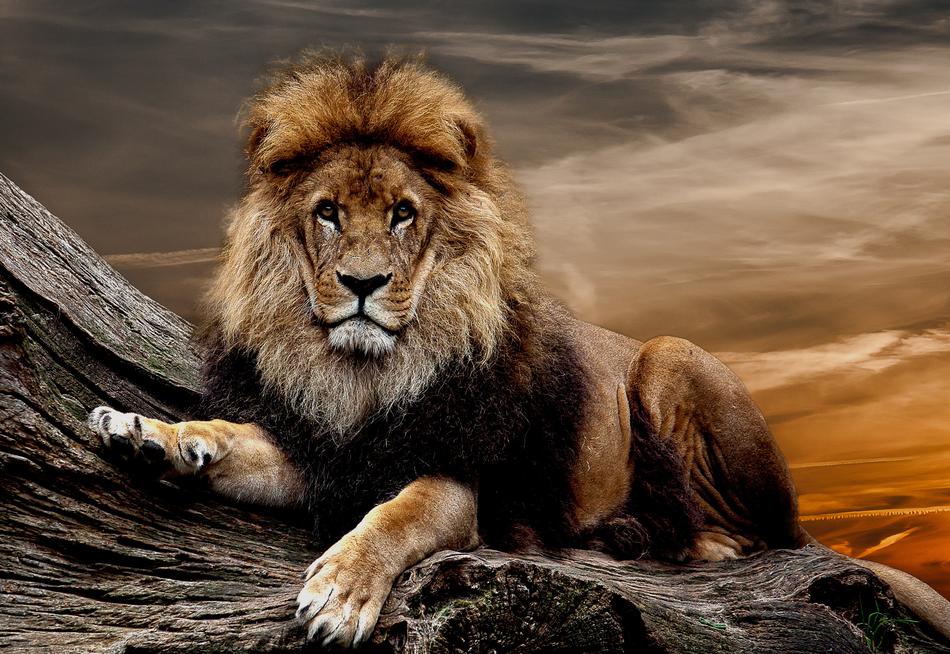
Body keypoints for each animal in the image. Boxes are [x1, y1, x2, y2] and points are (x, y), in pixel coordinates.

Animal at [87, 54, 950, 648]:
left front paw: (341, 592)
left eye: (403, 214)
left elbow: (397, 516)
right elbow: (240, 440)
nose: (362, 284)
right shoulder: (331, 452)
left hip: (669, 360)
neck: (365, 373)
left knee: (755, 536)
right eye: (328, 212)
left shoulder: (460, 479)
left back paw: (669, 539)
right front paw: (153, 435)